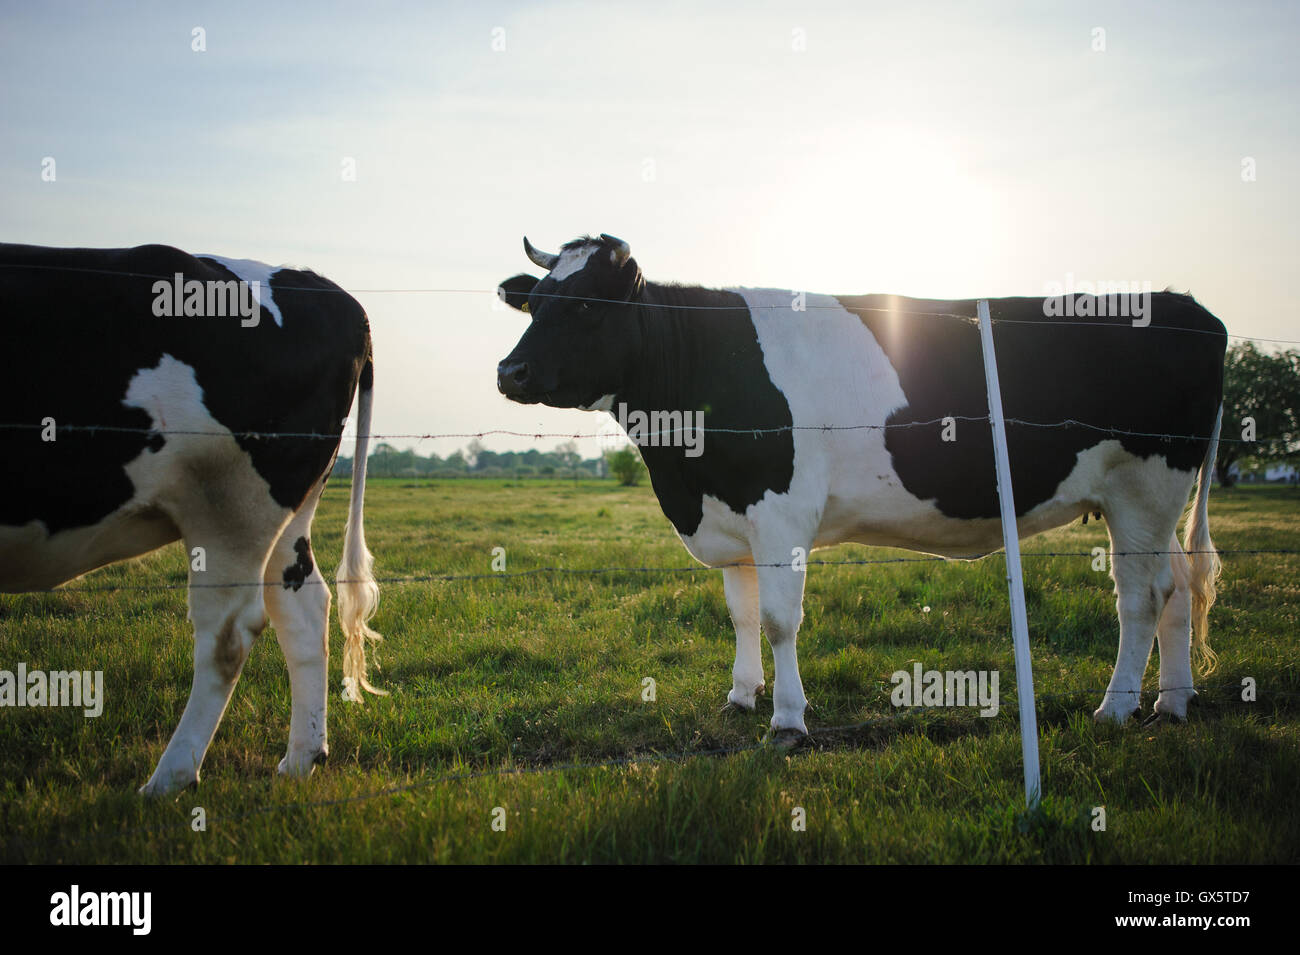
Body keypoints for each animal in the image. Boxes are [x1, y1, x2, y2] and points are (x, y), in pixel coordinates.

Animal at [0, 242, 384, 795]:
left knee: (228, 634)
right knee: (304, 607)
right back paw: (299, 759)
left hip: (230, 508)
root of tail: (334, 295)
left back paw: (169, 779)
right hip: (285, 516)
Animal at [496, 233, 1226, 743]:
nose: (509, 371)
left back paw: (1116, 708)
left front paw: (788, 719)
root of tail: (1184, 304)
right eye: (534, 303)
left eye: (586, 304)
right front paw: (740, 696)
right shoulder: (729, 512)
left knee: (1141, 599)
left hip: (1144, 487)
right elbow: (741, 613)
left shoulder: (781, 512)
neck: (681, 467)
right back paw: (1173, 702)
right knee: (1177, 591)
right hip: (1155, 500)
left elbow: (779, 618)